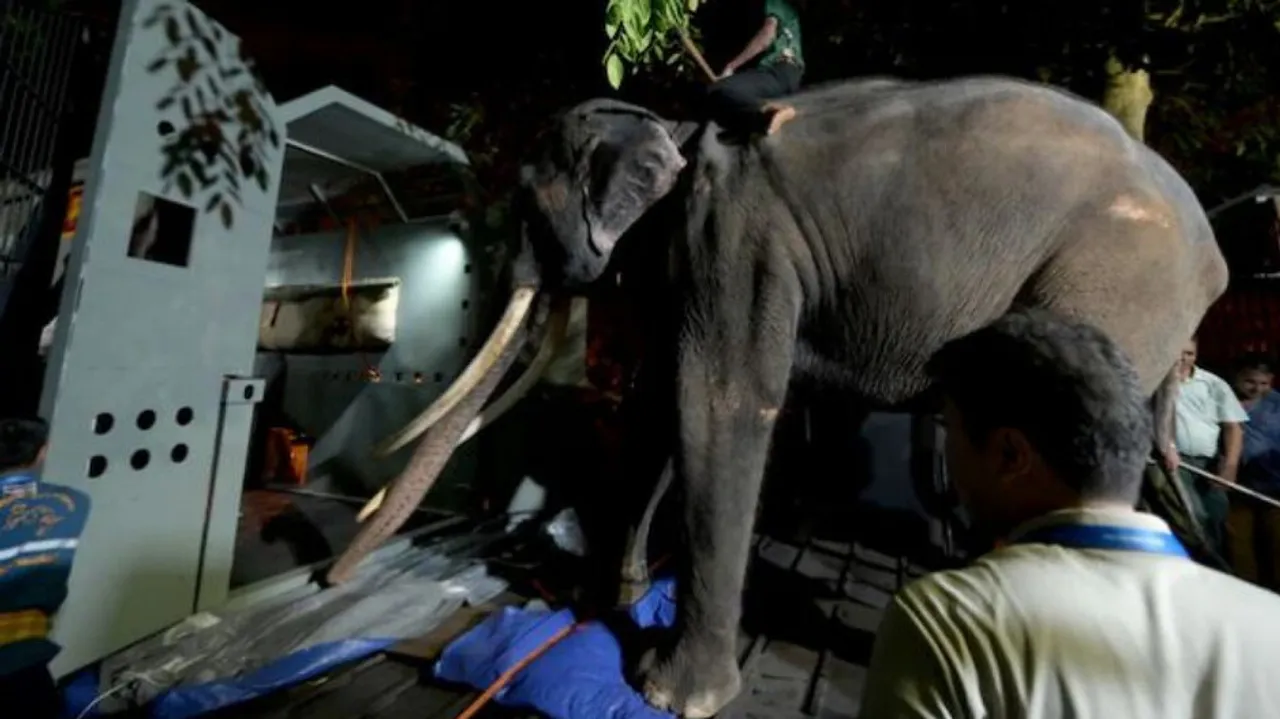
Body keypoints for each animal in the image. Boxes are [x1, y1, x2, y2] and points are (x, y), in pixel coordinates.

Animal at [325, 75, 1228, 717]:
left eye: (523, 199)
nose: (328, 579)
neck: (670, 130)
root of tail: (1211, 255)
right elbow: (657, 405)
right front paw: (606, 601)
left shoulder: (736, 240)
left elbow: (716, 401)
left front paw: (670, 693)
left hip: (1112, 280)